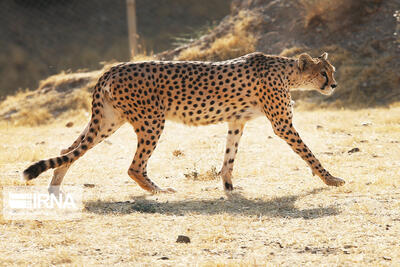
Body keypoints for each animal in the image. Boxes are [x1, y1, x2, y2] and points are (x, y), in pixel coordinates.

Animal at [23, 52, 346, 195]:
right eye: (323, 73)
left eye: (331, 71)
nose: (334, 85)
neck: (287, 71)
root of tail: (112, 68)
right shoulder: (282, 125)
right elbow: (309, 153)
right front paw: (331, 179)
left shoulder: (236, 121)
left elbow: (229, 156)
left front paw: (228, 186)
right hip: (151, 121)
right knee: (134, 166)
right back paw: (158, 190)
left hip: (107, 122)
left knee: (68, 150)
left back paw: (55, 186)